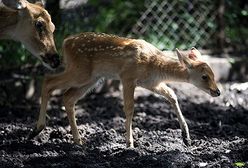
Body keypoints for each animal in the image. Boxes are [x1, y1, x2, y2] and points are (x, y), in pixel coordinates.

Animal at [29, 32, 221, 147]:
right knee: (48, 81)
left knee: (68, 98)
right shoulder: (127, 76)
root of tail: (65, 42)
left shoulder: (151, 83)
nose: (217, 92)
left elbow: (172, 95)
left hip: (91, 79)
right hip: (79, 71)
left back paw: (77, 140)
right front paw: (129, 143)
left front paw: (186, 137)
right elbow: (129, 108)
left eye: (213, 73)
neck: (154, 64)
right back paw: (37, 129)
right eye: (205, 76)